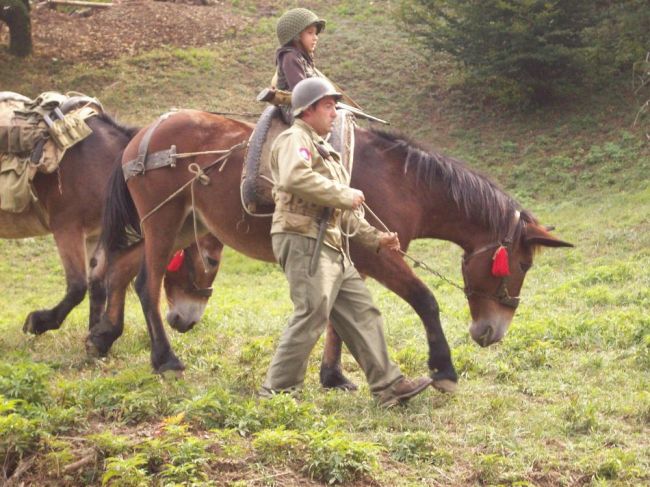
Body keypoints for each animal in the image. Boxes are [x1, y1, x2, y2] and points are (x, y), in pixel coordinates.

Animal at [0, 111, 221, 336]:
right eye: (211, 261)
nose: (189, 323)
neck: (105, 166)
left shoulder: (96, 234)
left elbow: (97, 284)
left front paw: (95, 332)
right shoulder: (67, 228)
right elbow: (78, 286)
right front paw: (38, 322)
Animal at [90, 110, 568, 388]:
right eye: (521, 264)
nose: (493, 332)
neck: (405, 183)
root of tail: (143, 135)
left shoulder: (349, 256)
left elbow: (339, 320)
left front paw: (333, 374)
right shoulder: (380, 256)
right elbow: (425, 300)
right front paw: (443, 367)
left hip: (181, 226)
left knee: (116, 268)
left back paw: (102, 335)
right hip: (163, 223)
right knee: (145, 283)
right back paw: (163, 358)